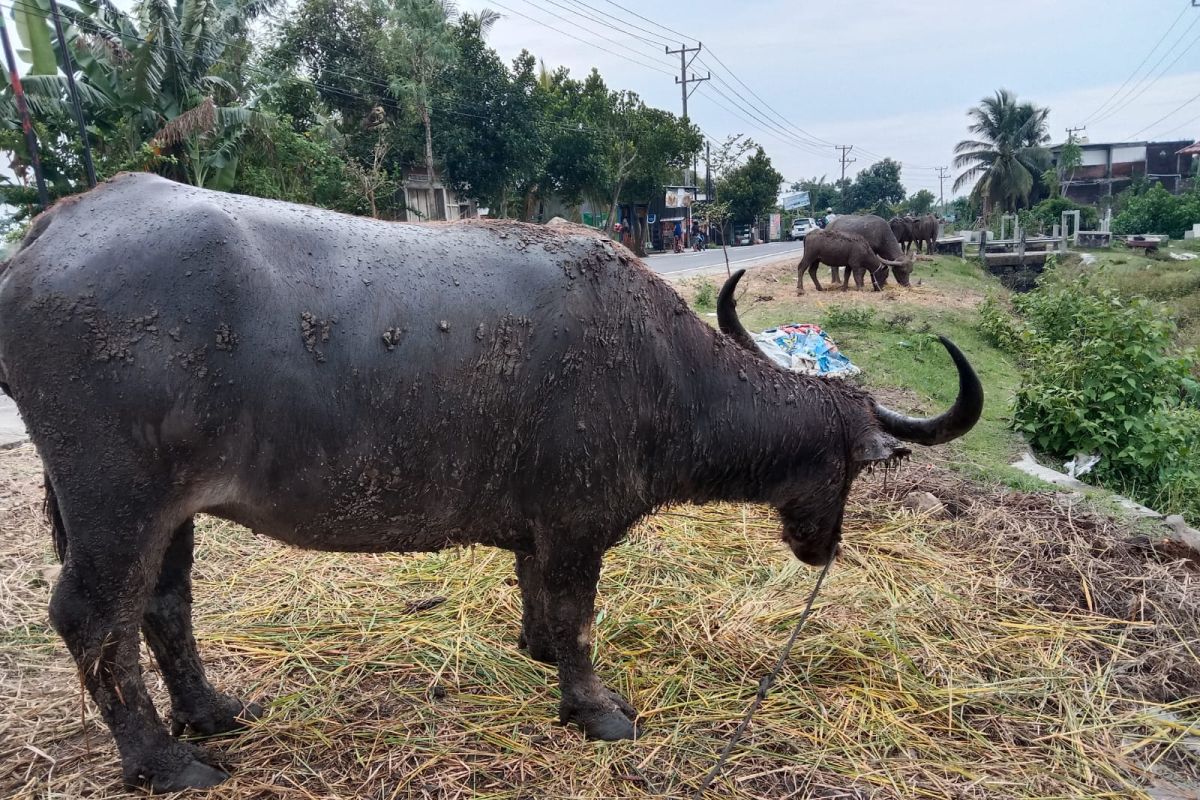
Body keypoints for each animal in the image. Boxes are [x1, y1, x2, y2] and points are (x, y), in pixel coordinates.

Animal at [0, 175, 979, 796]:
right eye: (849, 469)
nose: (824, 546)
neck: (667, 371)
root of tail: (47, 232)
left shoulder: (539, 521)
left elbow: (535, 589)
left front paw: (536, 648)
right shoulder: (579, 519)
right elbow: (580, 614)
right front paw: (595, 709)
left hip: (170, 511)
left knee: (163, 607)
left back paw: (209, 713)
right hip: (117, 502)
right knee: (93, 618)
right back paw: (165, 764)